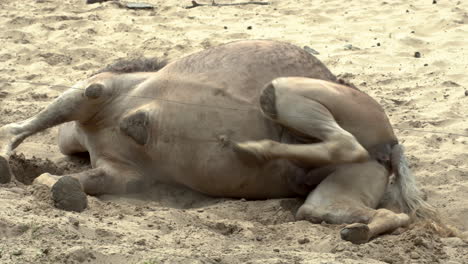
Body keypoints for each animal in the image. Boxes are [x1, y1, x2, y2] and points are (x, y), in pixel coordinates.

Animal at [0, 39, 436, 243]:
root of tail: (389, 146)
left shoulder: (100, 93)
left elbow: (39, 124)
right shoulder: (120, 169)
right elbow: (73, 178)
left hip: (312, 102)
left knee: (335, 138)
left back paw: (257, 148)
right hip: (347, 181)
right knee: (342, 208)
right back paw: (357, 229)